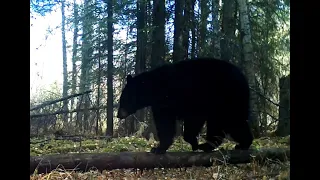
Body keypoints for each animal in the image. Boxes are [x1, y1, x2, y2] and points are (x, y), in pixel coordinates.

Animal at [116, 57, 254, 153]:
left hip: (228, 98)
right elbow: (165, 124)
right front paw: (160, 147)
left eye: (123, 99)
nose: (118, 115)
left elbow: (192, 120)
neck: (155, 89)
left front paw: (193, 142)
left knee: (233, 120)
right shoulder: (161, 106)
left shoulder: (187, 99)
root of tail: (243, 77)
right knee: (225, 123)